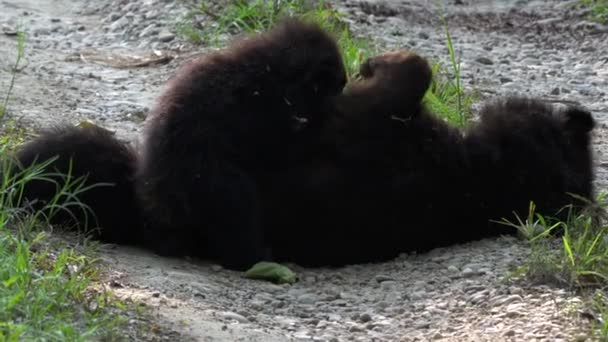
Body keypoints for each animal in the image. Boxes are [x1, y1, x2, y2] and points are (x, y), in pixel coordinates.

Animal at [137, 18, 346, 270]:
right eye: (328, 81)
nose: (345, 81)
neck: (274, 71)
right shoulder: (263, 113)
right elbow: (278, 150)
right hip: (215, 180)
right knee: (236, 207)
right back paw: (255, 256)